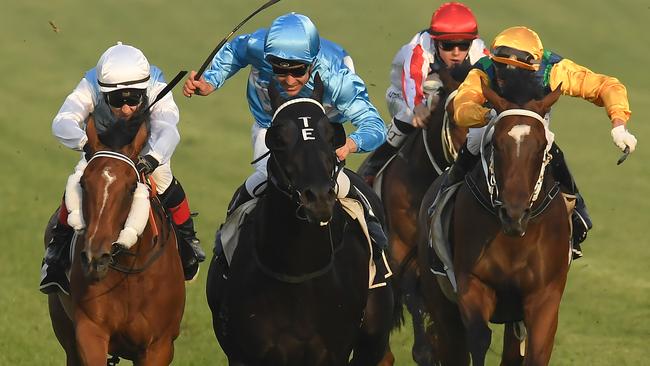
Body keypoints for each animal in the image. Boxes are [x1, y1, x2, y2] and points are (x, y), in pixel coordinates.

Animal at [46, 115, 184, 366]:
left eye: (131, 188)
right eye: (83, 183)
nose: (95, 258)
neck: (130, 276)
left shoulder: (159, 347)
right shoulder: (90, 331)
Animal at [205, 76, 394, 364]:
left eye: (331, 136)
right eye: (279, 138)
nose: (318, 198)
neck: (298, 273)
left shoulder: (334, 352)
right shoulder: (246, 353)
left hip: (373, 338)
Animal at [416, 81, 572, 364]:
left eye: (541, 147)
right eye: (496, 145)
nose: (513, 214)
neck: (515, 242)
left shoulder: (544, 297)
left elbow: (536, 350)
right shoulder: (473, 283)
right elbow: (478, 339)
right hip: (440, 301)